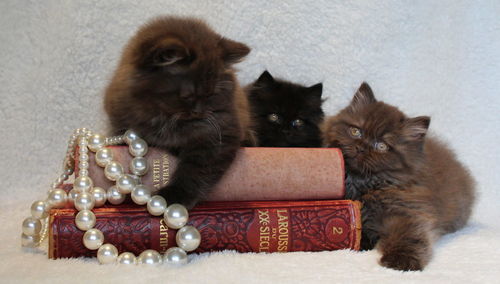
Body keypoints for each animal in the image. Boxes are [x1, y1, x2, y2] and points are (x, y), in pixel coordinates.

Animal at [104, 17, 256, 209]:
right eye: (187, 96)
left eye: (211, 94)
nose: (199, 112)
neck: (165, 118)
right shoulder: (120, 121)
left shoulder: (221, 133)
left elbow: (196, 170)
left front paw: (174, 197)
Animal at [322, 82, 474, 270]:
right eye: (356, 132)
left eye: (381, 146)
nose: (361, 148)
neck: (363, 184)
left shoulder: (407, 210)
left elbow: (409, 234)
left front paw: (401, 260)